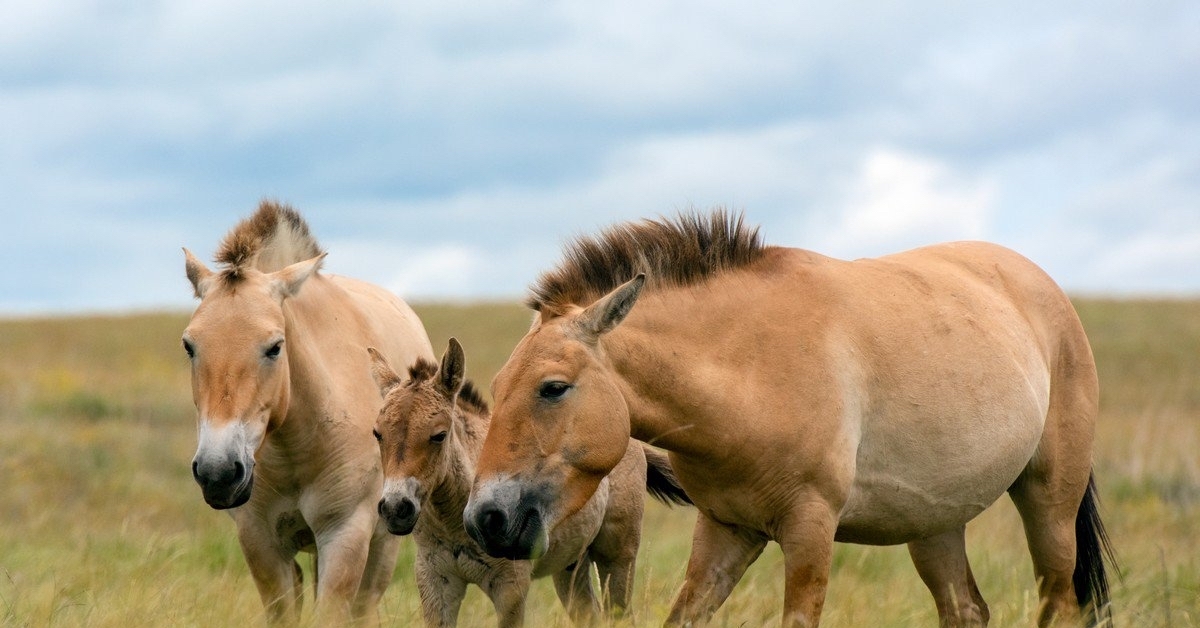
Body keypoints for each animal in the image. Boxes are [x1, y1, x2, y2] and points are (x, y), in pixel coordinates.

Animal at [182, 202, 436, 624]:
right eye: (189, 345)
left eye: (274, 347)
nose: (218, 472)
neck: (296, 448)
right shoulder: (260, 541)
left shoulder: (344, 535)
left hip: (382, 548)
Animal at [367, 341, 696, 628]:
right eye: (377, 434)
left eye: (439, 435)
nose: (396, 509)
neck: (453, 522)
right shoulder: (435, 582)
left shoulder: (510, 586)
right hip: (570, 566)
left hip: (618, 555)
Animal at [465, 212, 1113, 628]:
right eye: (495, 390)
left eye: (553, 389)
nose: (485, 518)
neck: (749, 370)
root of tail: (1048, 292)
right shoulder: (726, 531)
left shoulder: (809, 530)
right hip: (934, 525)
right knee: (966, 610)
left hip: (1048, 508)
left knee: (1059, 605)